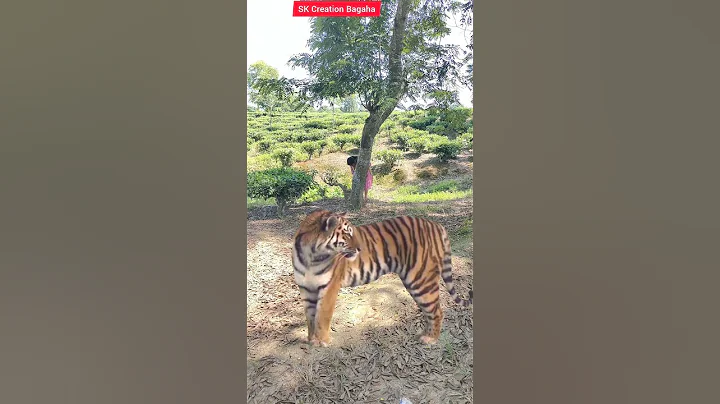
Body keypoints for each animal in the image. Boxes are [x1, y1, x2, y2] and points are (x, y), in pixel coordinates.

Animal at [292, 209, 472, 347]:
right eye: (347, 235)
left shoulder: (329, 288)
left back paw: (431, 339)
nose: (360, 249)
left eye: (351, 232)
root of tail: (436, 225)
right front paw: (311, 340)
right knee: (430, 311)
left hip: (421, 280)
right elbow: (310, 317)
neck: (311, 256)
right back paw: (424, 334)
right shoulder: (306, 289)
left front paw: (323, 342)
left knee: (437, 311)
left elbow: (322, 316)